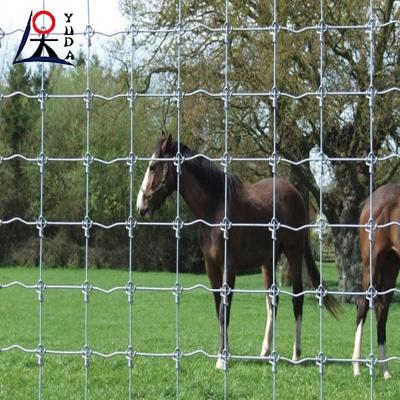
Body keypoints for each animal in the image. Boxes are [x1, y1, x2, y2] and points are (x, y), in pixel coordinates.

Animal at [138, 135, 340, 368]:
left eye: (153, 166)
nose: (141, 205)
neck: (216, 210)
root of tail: (295, 194)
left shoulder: (230, 267)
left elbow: (225, 311)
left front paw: (222, 360)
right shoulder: (211, 268)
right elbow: (219, 310)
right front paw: (222, 354)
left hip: (293, 252)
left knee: (297, 298)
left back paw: (296, 354)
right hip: (268, 262)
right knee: (273, 301)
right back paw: (265, 351)